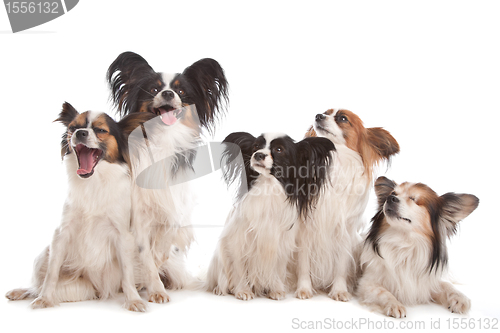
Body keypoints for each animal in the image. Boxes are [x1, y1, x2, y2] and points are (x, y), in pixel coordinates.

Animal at [4, 102, 148, 312]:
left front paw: (133, 300)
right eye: (73, 128)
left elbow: (127, 275)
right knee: (37, 286)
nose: (80, 133)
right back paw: (22, 292)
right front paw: (44, 299)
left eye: (100, 130)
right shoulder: (61, 234)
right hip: (43, 256)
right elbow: (51, 274)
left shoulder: (123, 236)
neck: (93, 182)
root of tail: (96, 289)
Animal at [207, 131, 336, 300]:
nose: (258, 154)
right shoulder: (237, 242)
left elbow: (275, 268)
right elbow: (238, 268)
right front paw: (243, 291)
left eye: (279, 149)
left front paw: (275, 290)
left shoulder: (277, 243)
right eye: (256, 146)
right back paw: (219, 289)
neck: (267, 187)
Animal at [294, 109, 400, 300]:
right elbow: (304, 263)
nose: (318, 116)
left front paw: (339, 290)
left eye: (342, 118)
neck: (336, 163)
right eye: (325, 112)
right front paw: (304, 288)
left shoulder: (345, 232)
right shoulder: (306, 230)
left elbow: (341, 266)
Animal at [358, 176, 478, 316]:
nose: (390, 198)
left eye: (413, 199)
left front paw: (460, 298)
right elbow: (382, 292)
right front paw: (394, 304)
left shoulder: (426, 283)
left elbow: (446, 285)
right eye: (393, 194)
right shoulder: (367, 283)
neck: (404, 242)